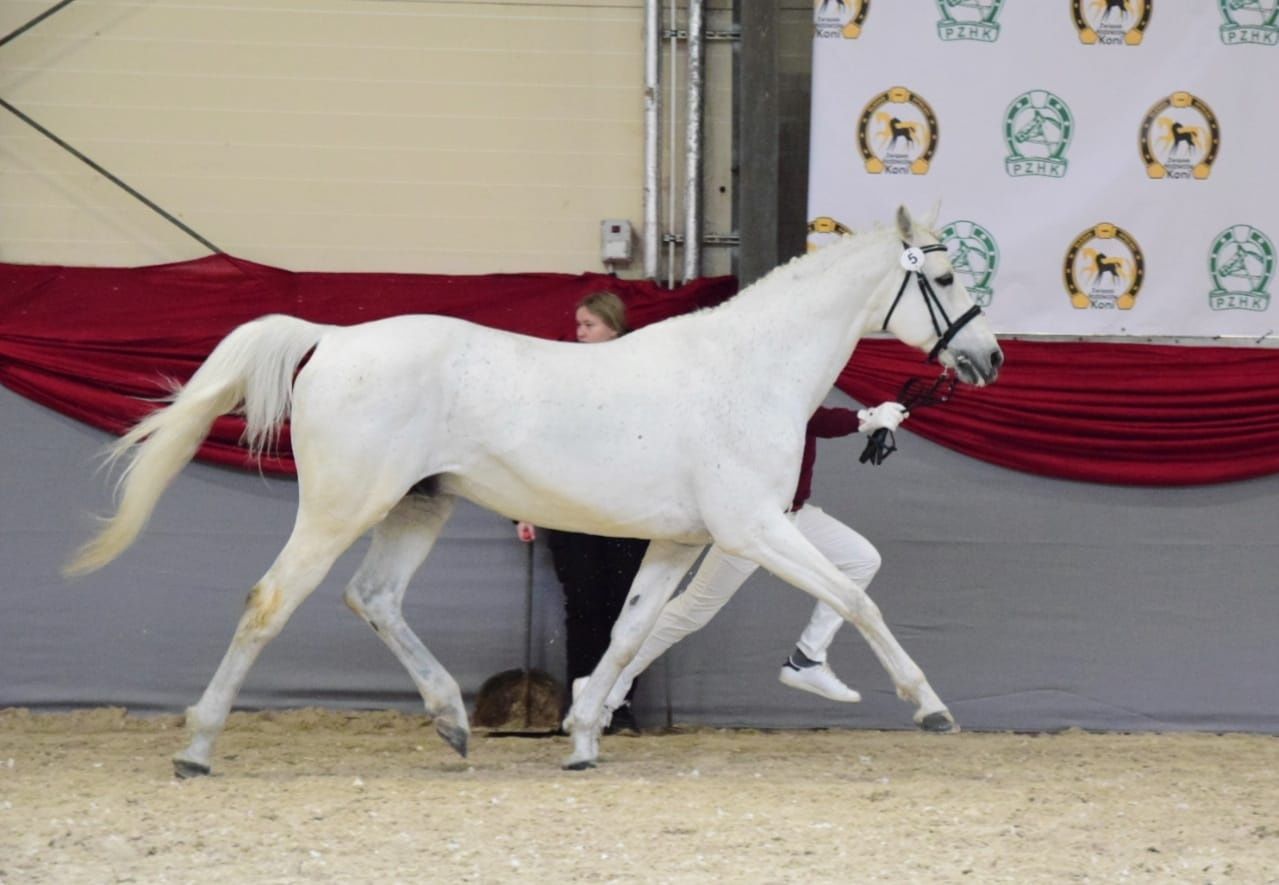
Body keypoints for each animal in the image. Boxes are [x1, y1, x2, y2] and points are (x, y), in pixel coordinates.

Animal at [64, 203, 1002, 772]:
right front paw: (930, 707)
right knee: (270, 601)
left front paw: (582, 737)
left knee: (374, 598)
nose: (988, 358)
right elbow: (855, 597)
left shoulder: (680, 541)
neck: (744, 370)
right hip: (341, 507)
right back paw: (197, 746)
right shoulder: (754, 530)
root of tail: (332, 338)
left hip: (418, 505)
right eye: (944, 279)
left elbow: (628, 632)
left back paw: (451, 719)